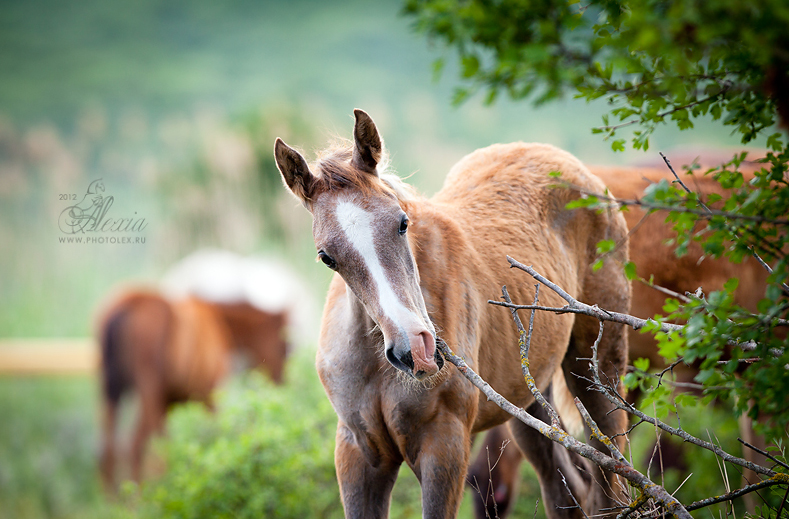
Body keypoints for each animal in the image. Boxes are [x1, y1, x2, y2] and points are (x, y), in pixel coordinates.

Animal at [98, 288, 290, 490]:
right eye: (283, 347)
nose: (282, 382)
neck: (219, 319)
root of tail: (130, 305)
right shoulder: (208, 398)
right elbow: (211, 435)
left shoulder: (168, 404)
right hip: (149, 395)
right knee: (140, 447)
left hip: (112, 394)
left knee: (110, 454)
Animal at [274, 109, 631, 519]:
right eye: (327, 257)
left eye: (402, 222)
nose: (415, 349)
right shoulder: (358, 452)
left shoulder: (444, 444)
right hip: (528, 404)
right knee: (568, 493)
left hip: (595, 373)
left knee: (610, 488)